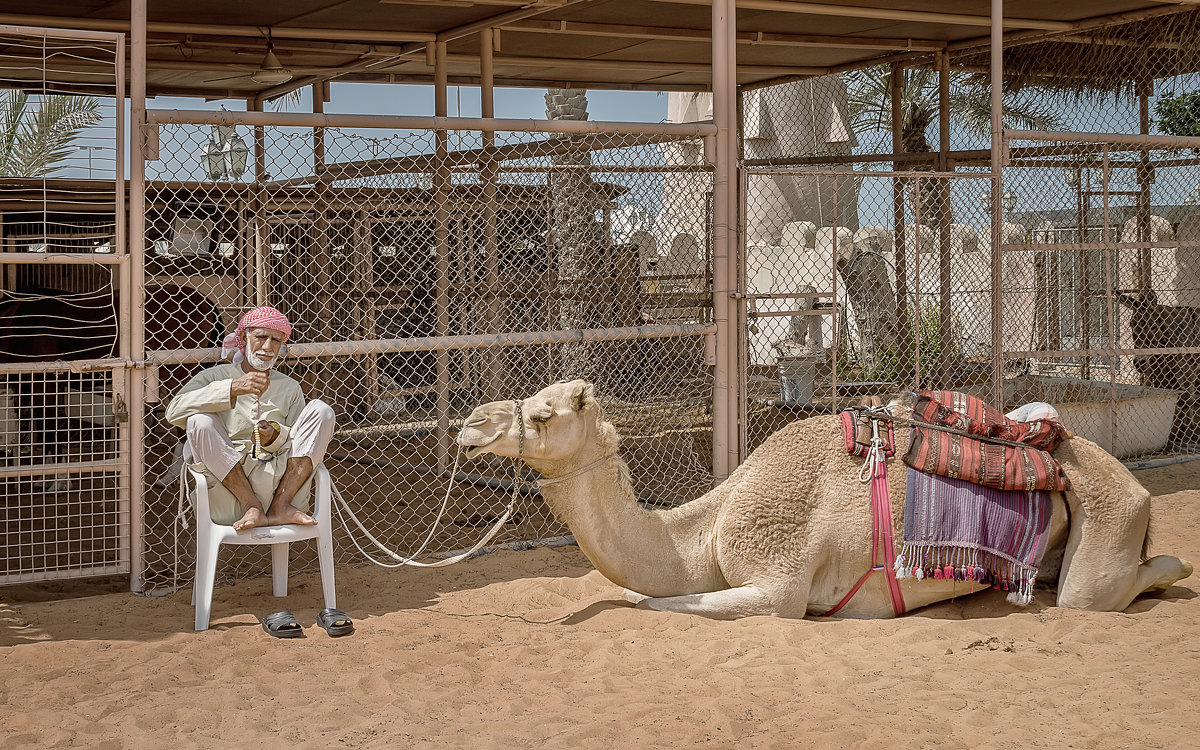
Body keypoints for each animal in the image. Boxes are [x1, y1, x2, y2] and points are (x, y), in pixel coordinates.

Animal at [456, 379, 1190, 619]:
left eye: (544, 414)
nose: (469, 426)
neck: (705, 531)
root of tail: (1135, 485)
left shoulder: (778, 584)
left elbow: (665, 604)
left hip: (1108, 523)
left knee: (1097, 591)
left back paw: (1174, 568)